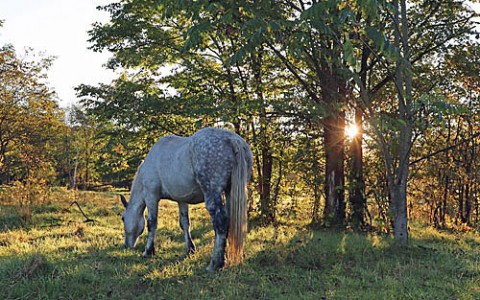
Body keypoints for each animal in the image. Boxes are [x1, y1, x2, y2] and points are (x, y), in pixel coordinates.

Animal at [119, 127, 251, 272]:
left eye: (123, 218)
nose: (126, 246)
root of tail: (233, 140)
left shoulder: (151, 197)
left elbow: (152, 223)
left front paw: (148, 251)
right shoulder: (181, 200)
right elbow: (185, 223)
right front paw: (190, 249)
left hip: (212, 194)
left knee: (221, 222)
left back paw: (215, 263)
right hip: (229, 193)